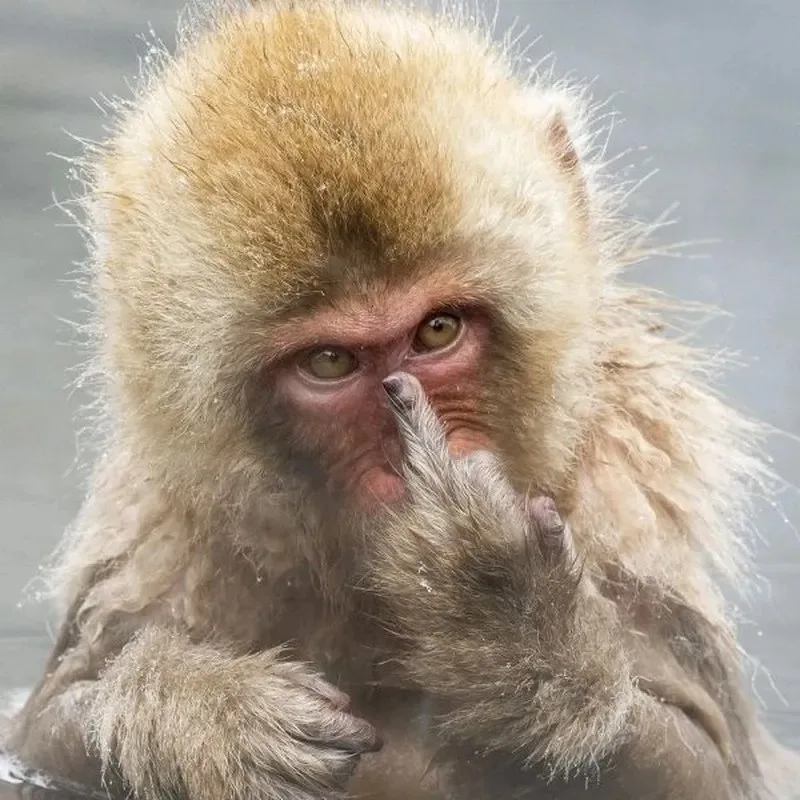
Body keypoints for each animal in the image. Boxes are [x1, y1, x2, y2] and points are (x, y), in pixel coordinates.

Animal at [4, 0, 799, 798]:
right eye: (329, 362)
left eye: (438, 330)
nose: (404, 450)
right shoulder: (159, 542)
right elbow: (39, 737)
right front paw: (204, 716)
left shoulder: (627, 508)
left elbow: (717, 762)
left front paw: (504, 619)